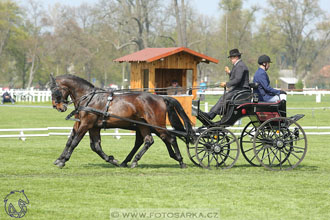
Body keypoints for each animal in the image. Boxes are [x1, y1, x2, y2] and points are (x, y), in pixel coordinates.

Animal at [49, 74, 193, 168]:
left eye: (54, 90)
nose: (58, 107)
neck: (89, 98)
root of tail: (161, 97)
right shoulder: (90, 126)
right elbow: (93, 146)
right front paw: (111, 160)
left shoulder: (86, 124)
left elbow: (75, 142)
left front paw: (63, 161)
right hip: (144, 126)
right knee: (149, 140)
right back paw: (133, 161)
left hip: (156, 124)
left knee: (170, 138)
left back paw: (180, 161)